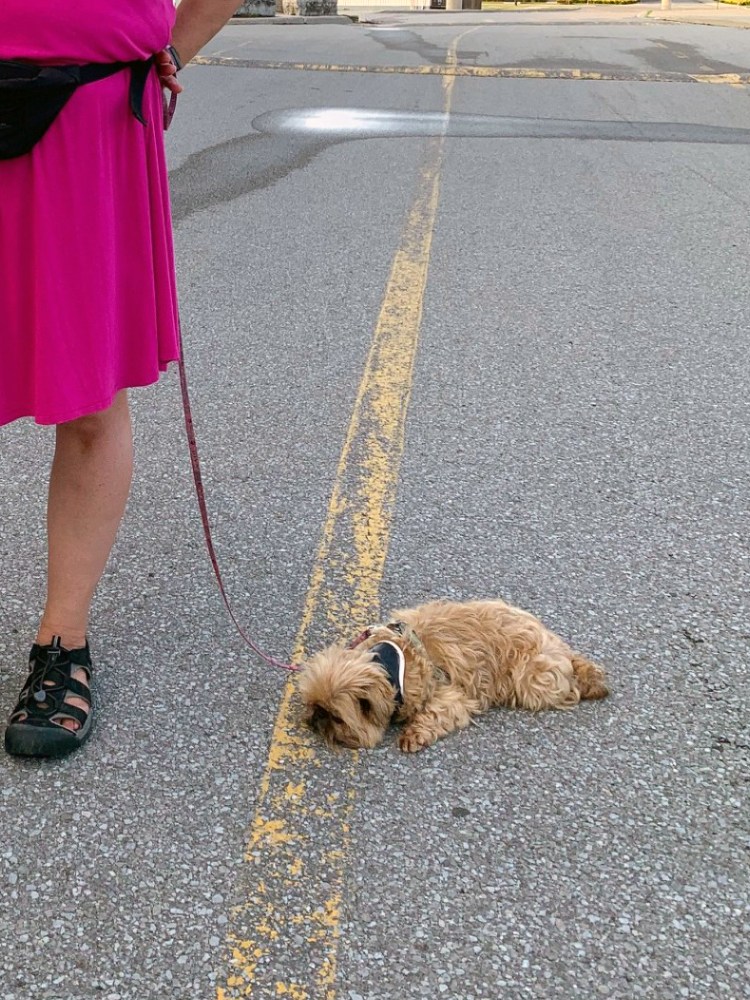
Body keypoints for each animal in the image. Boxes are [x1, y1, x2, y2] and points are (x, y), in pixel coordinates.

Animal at [298, 599, 608, 752]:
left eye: (335, 717)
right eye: (312, 705)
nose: (314, 719)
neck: (389, 665)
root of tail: (548, 636)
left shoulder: (449, 695)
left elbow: (436, 714)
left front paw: (413, 735)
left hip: (533, 678)